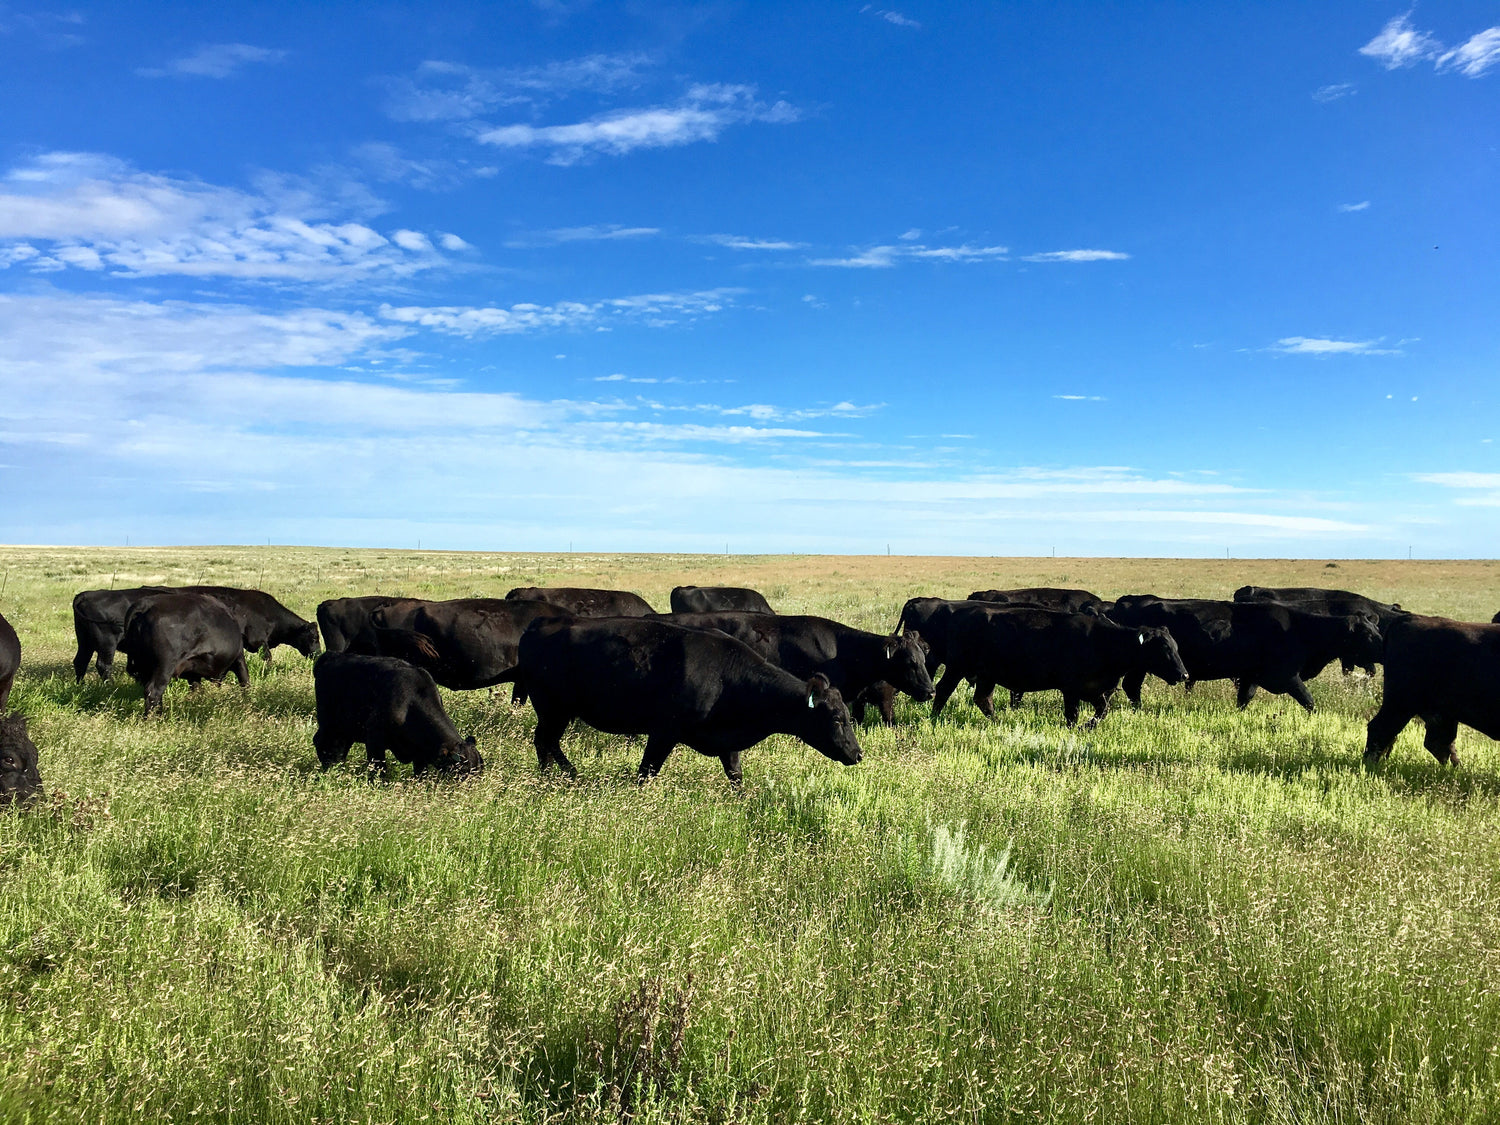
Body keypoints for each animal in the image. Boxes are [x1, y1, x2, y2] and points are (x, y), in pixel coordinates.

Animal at [312, 652, 483, 778]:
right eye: (463, 771)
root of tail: (330, 656)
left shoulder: (420, 752)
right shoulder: (374, 737)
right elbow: (378, 767)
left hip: (346, 727)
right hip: (330, 724)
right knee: (322, 742)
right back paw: (329, 767)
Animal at [516, 616, 862, 784]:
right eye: (836, 718)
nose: (858, 754)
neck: (726, 677)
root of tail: (540, 625)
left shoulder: (728, 739)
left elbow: (736, 775)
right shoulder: (663, 732)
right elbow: (646, 772)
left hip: (557, 711)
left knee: (547, 742)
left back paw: (562, 775)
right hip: (552, 708)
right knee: (545, 741)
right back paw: (559, 775)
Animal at [930, 605, 1188, 727]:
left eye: (1176, 647)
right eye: (1164, 649)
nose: (1184, 674)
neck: (1103, 641)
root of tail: (961, 613)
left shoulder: (1095, 690)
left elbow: (1102, 711)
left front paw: (1087, 727)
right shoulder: (1071, 689)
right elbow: (1072, 715)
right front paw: (1076, 728)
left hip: (987, 675)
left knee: (983, 699)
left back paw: (998, 722)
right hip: (956, 667)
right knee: (943, 690)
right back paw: (933, 719)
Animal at [1108, 595, 1383, 711]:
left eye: (1375, 628)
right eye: (1367, 635)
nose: (1384, 647)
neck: (1301, 630)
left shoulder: (1251, 676)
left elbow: (1244, 699)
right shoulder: (1287, 677)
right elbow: (1309, 701)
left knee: (1131, 687)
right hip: (1140, 666)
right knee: (1132, 687)